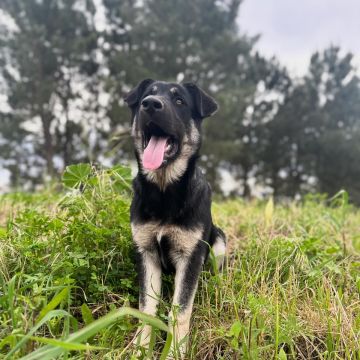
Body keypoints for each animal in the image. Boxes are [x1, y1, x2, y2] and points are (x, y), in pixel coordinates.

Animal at [124, 79, 225, 358]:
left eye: (179, 101)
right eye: (146, 96)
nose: (150, 104)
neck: (164, 192)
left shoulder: (190, 257)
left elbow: (179, 312)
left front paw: (175, 352)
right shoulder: (146, 253)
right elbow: (148, 309)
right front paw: (141, 349)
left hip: (219, 241)